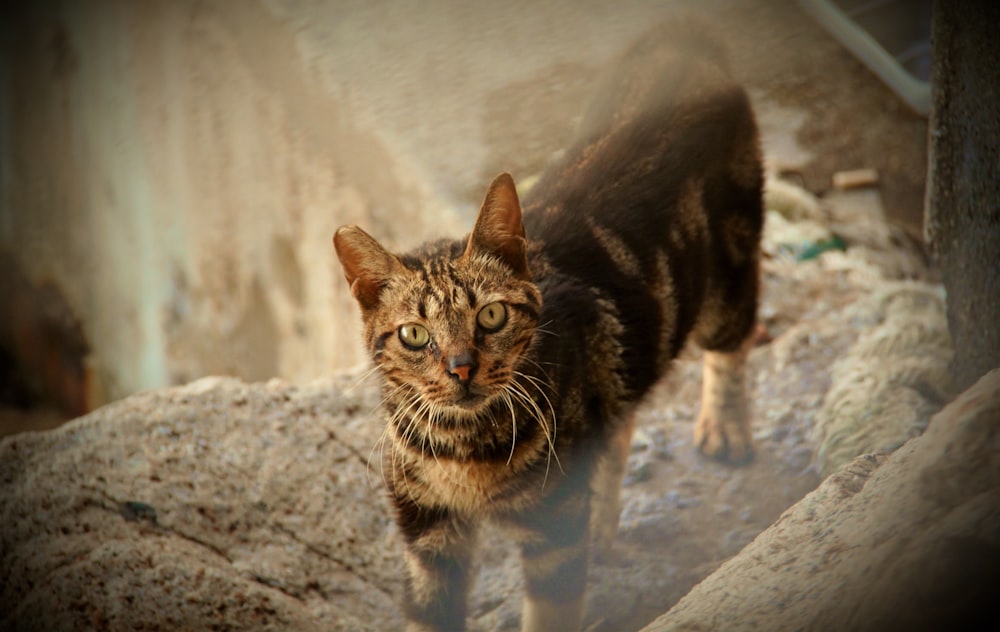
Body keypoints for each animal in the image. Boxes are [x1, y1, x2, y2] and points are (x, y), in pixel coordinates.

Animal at [332, 19, 760, 632]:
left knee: (734, 343)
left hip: (728, 274)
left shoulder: (552, 532)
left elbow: (551, 609)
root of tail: (679, 37)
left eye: (490, 315)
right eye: (414, 334)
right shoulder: (428, 535)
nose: (462, 367)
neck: (462, 450)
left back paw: (724, 428)